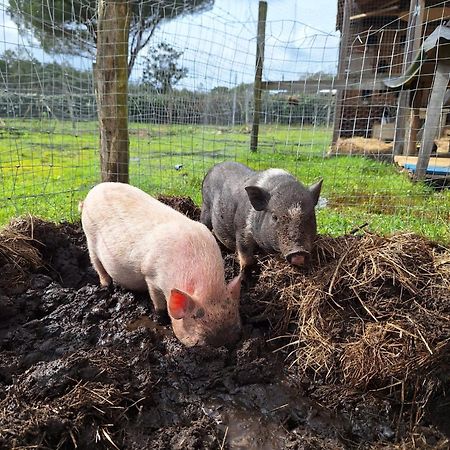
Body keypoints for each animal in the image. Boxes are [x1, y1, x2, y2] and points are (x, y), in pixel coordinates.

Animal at [81, 183, 243, 348]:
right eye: (200, 342)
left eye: (237, 333)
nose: (224, 345)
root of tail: (94, 190)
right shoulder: (150, 274)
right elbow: (157, 301)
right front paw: (161, 319)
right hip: (90, 237)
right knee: (97, 263)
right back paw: (106, 286)